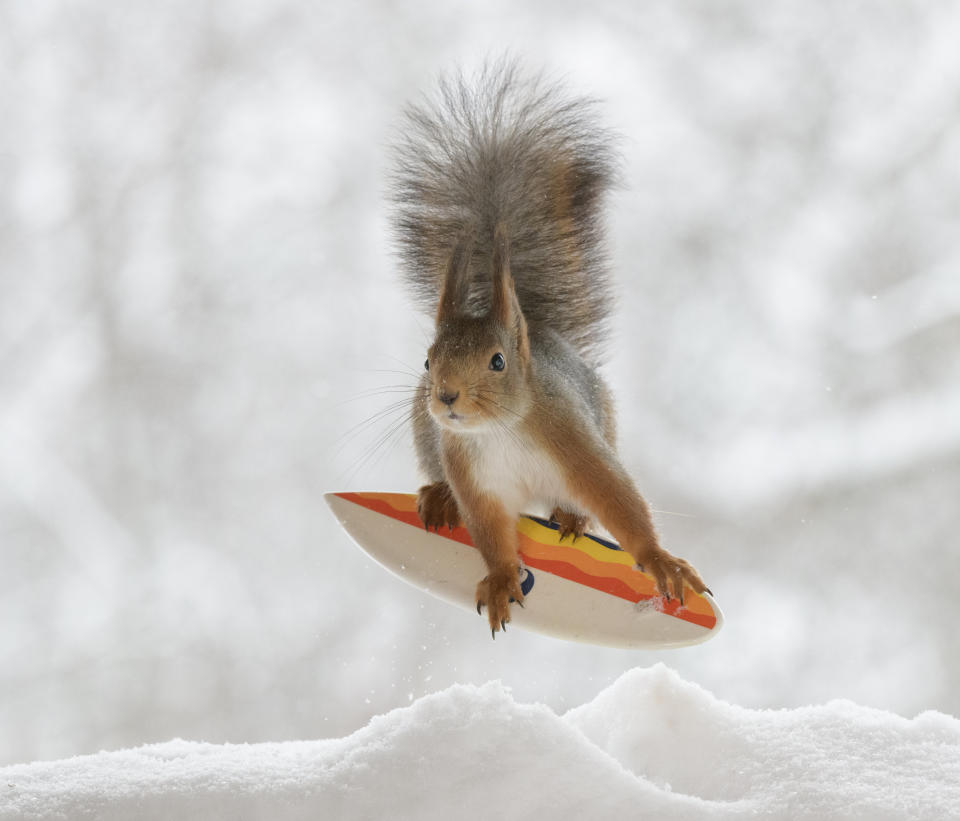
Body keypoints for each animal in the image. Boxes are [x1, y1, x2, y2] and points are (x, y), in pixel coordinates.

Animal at [386, 67, 708, 636]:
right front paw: (500, 577)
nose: (445, 396)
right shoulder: (472, 475)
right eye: (427, 360)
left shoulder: (572, 438)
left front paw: (659, 560)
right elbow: (490, 531)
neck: (501, 429)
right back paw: (438, 496)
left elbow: (616, 497)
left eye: (497, 361)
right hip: (428, 440)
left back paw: (572, 518)